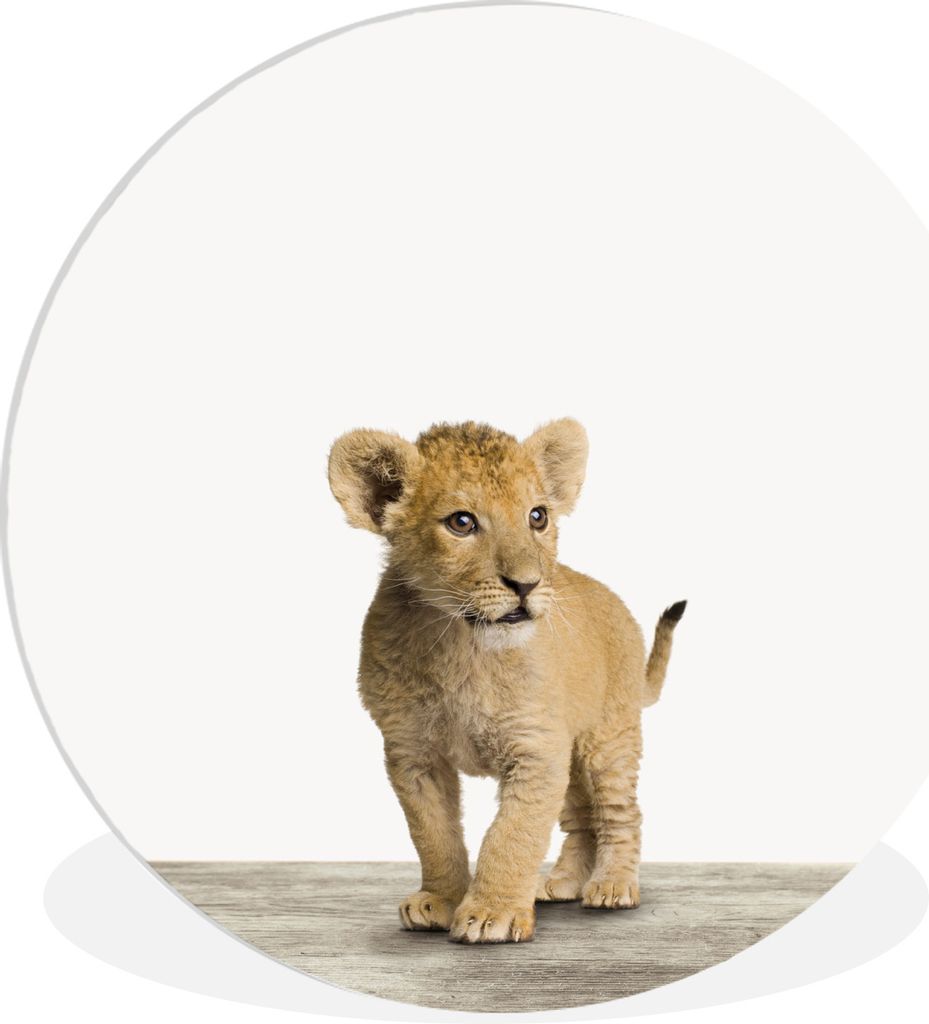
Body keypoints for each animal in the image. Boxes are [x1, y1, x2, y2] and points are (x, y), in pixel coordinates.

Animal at [328, 418, 685, 943]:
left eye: (537, 516)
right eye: (462, 522)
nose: (527, 584)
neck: (462, 645)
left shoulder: (536, 749)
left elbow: (512, 834)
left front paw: (490, 913)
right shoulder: (412, 753)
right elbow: (433, 833)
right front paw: (440, 900)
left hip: (607, 737)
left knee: (620, 812)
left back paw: (613, 885)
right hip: (571, 753)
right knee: (580, 818)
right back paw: (561, 883)